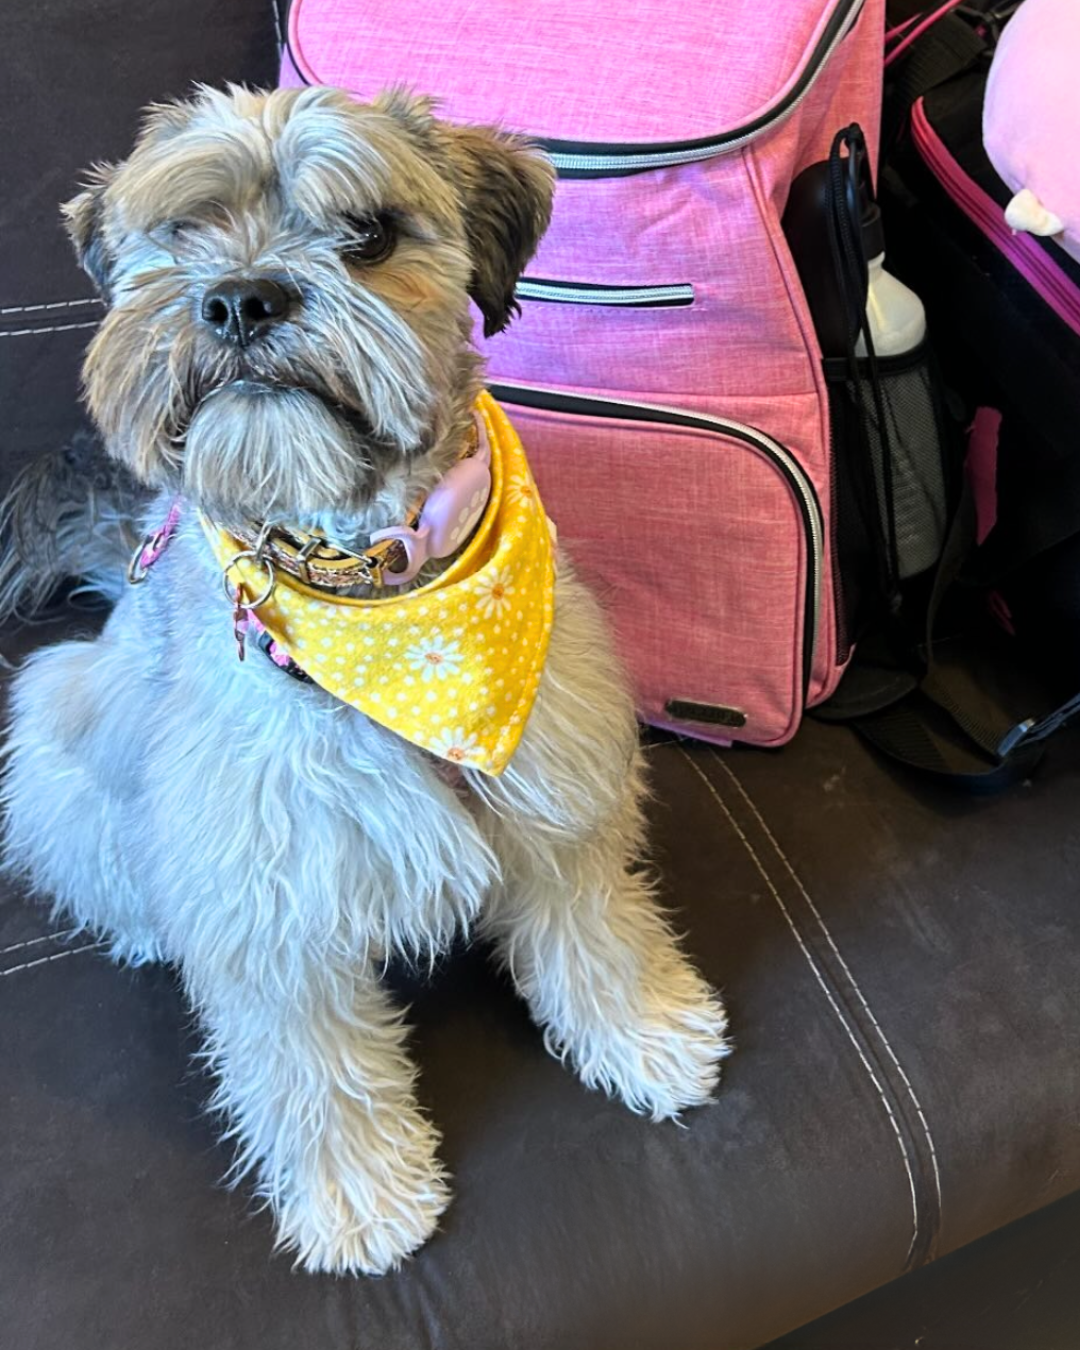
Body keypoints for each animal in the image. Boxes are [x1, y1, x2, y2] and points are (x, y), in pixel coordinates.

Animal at [0, 87, 729, 1274]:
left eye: (370, 233)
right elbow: (312, 1066)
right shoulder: (268, 893)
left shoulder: (557, 787)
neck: (375, 582)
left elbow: (597, 931)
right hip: (62, 716)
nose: (241, 299)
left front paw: (642, 1032)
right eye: (183, 232)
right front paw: (360, 1194)